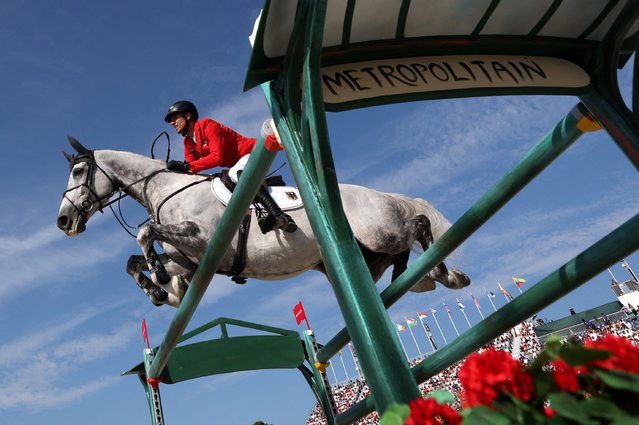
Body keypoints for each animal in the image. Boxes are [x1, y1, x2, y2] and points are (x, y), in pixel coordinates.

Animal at [57, 137, 470, 306]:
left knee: (418, 224)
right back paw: (426, 278)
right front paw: (158, 290)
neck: (167, 189)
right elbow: (133, 262)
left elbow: (144, 232)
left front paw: (158, 281)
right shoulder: (189, 260)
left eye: (78, 171)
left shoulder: (203, 241)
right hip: (368, 255)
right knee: (401, 256)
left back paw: (446, 274)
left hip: (380, 232)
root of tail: (381, 194)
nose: (63, 221)